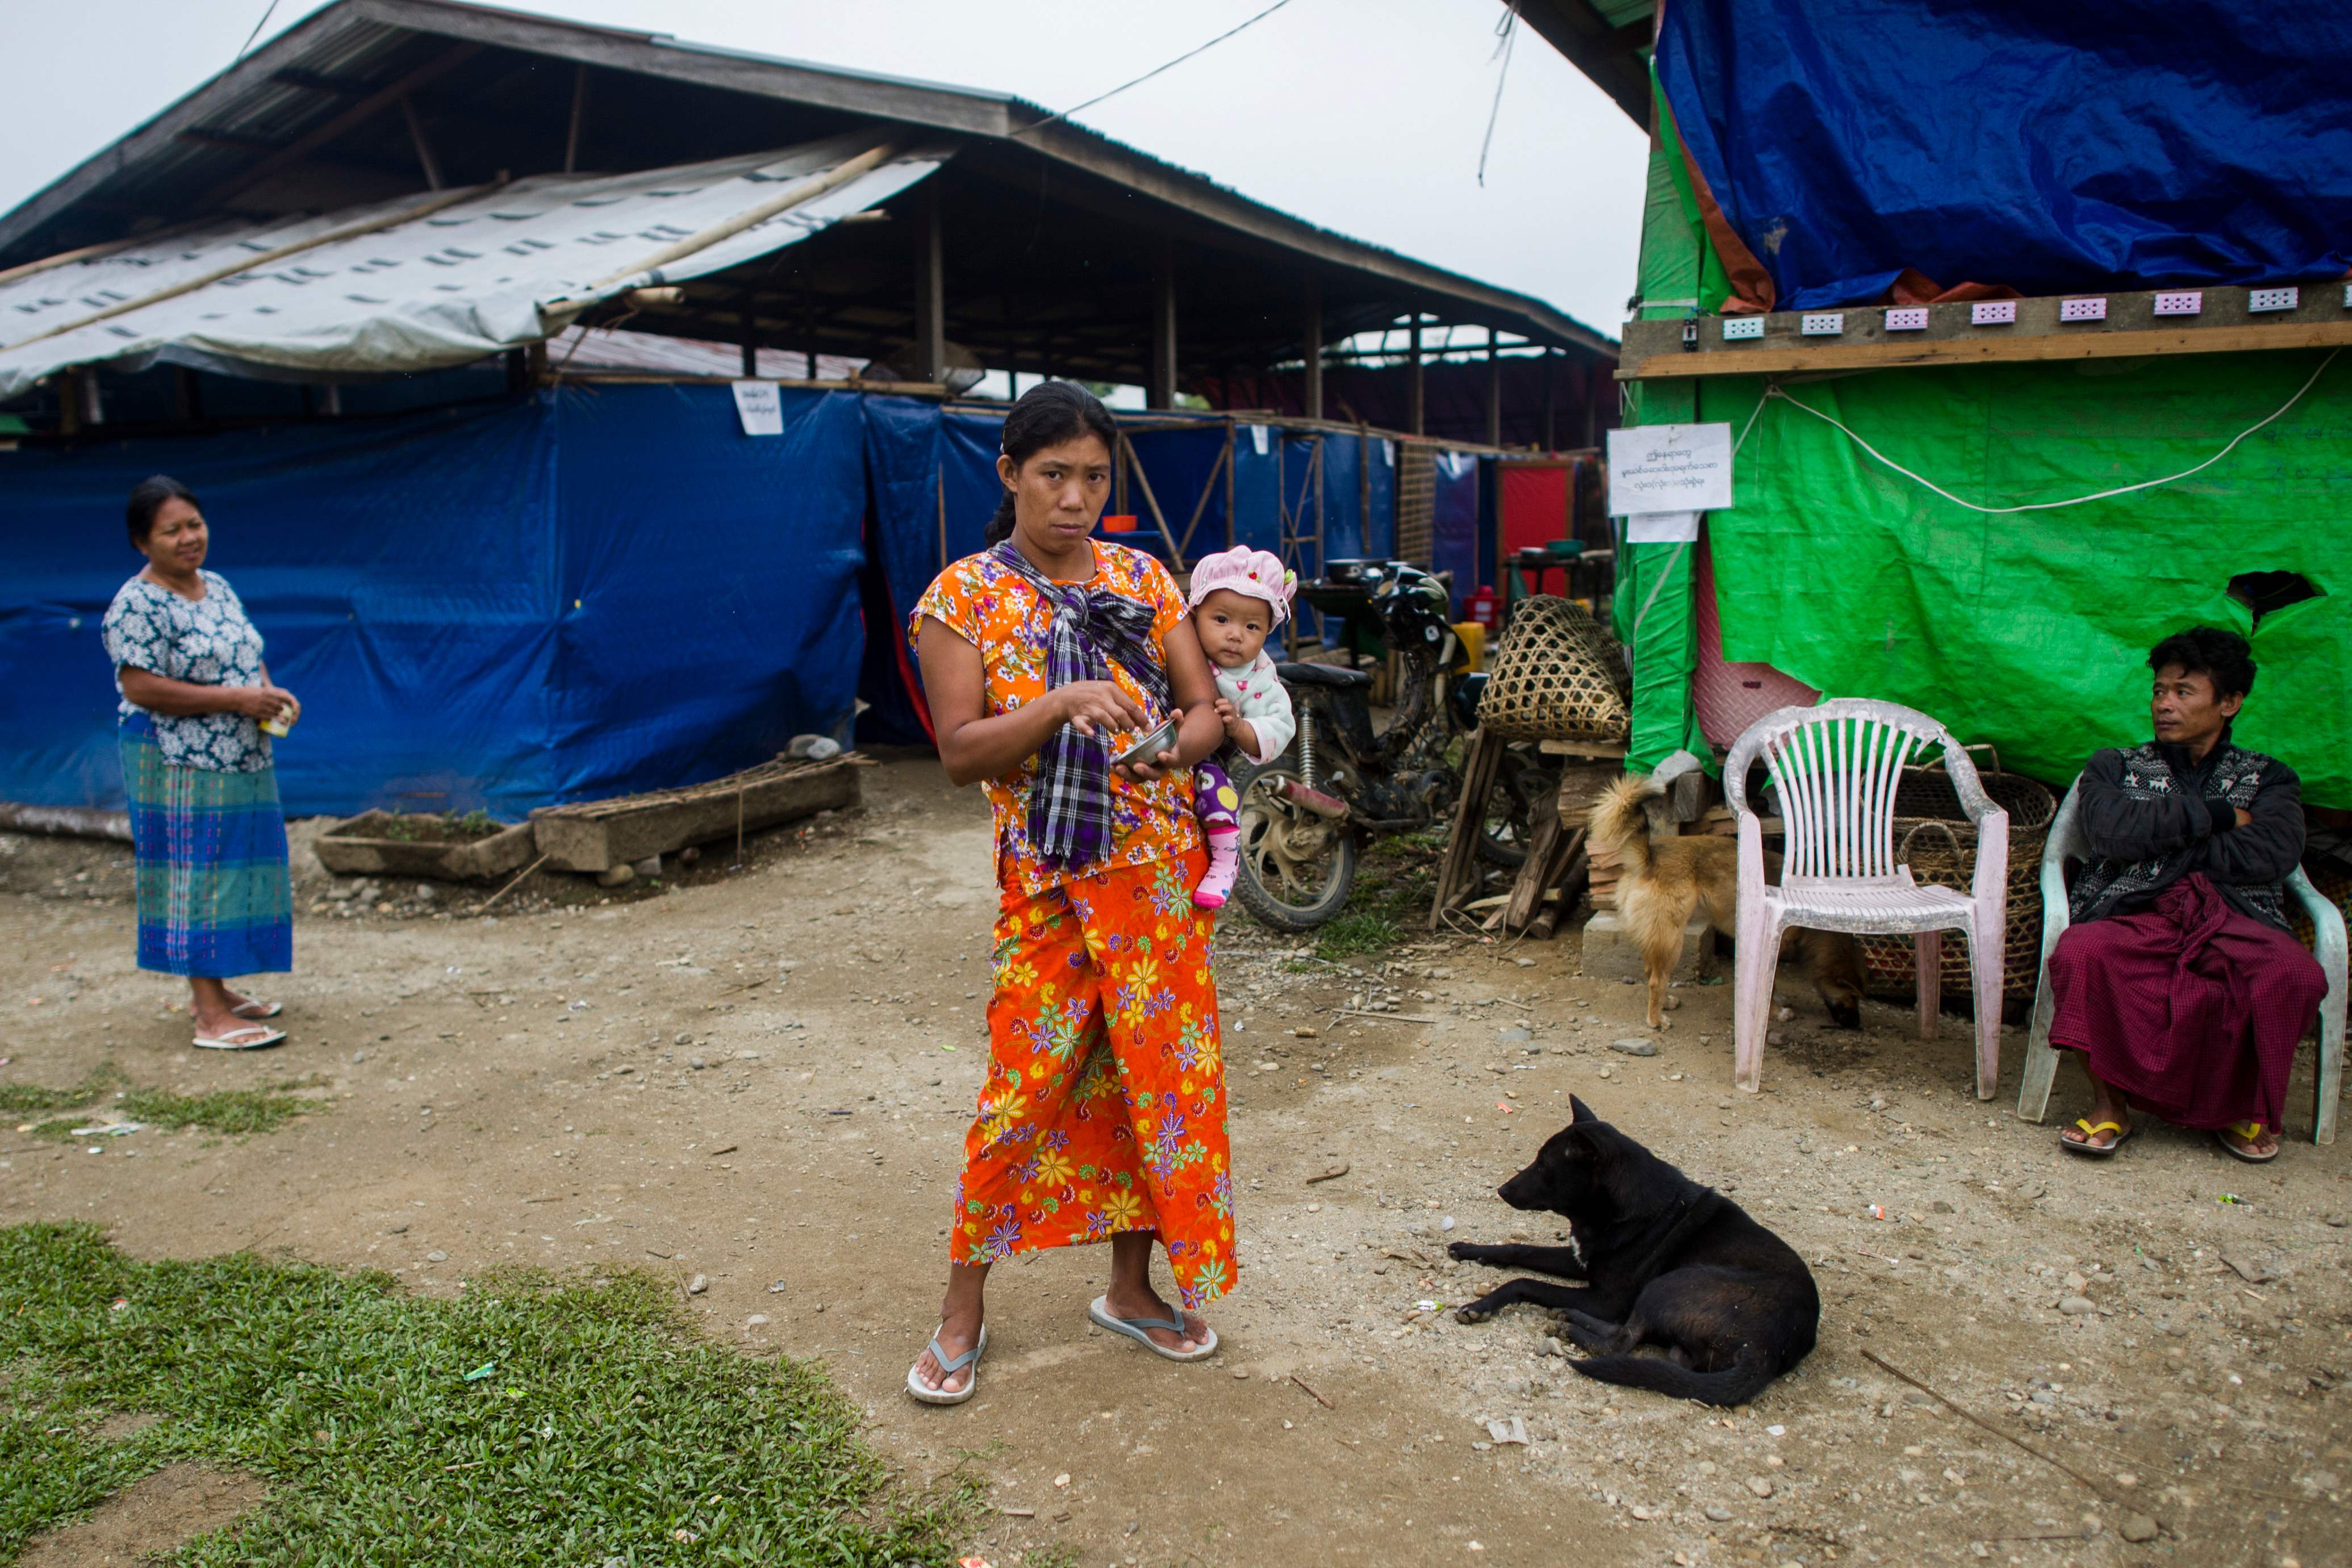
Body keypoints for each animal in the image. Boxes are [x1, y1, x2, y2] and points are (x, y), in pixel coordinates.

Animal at [1448, 1090, 1815, 1410]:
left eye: (1542, 1164)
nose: (1502, 1190)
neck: (1627, 1210)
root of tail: (1768, 1347)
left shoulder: (1607, 1300)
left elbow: (1525, 1282)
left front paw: (1481, 1305)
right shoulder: (1580, 1259)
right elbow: (1519, 1249)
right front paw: (1471, 1249)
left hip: (1669, 1285)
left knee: (1622, 1340)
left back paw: (1569, 1325)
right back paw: (1568, 1316)